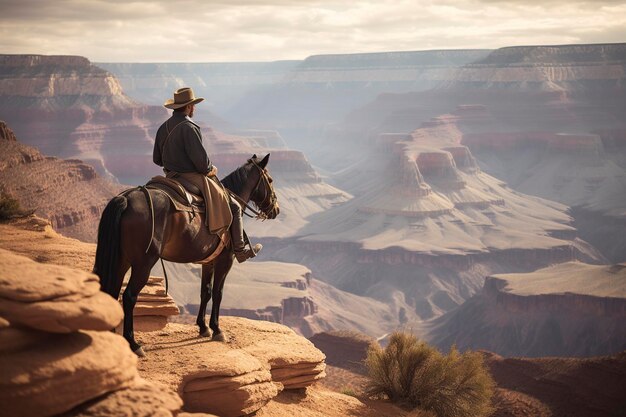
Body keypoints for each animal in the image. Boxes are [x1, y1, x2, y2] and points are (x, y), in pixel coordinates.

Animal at [93, 153, 278, 354]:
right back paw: (133, 344)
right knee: (129, 297)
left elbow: (206, 291)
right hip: (143, 263)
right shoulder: (225, 259)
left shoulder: (208, 261)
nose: (276, 209)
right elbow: (218, 292)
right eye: (270, 180)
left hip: (121, 260)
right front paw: (217, 329)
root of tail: (126, 199)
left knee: (111, 293)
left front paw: (203, 327)